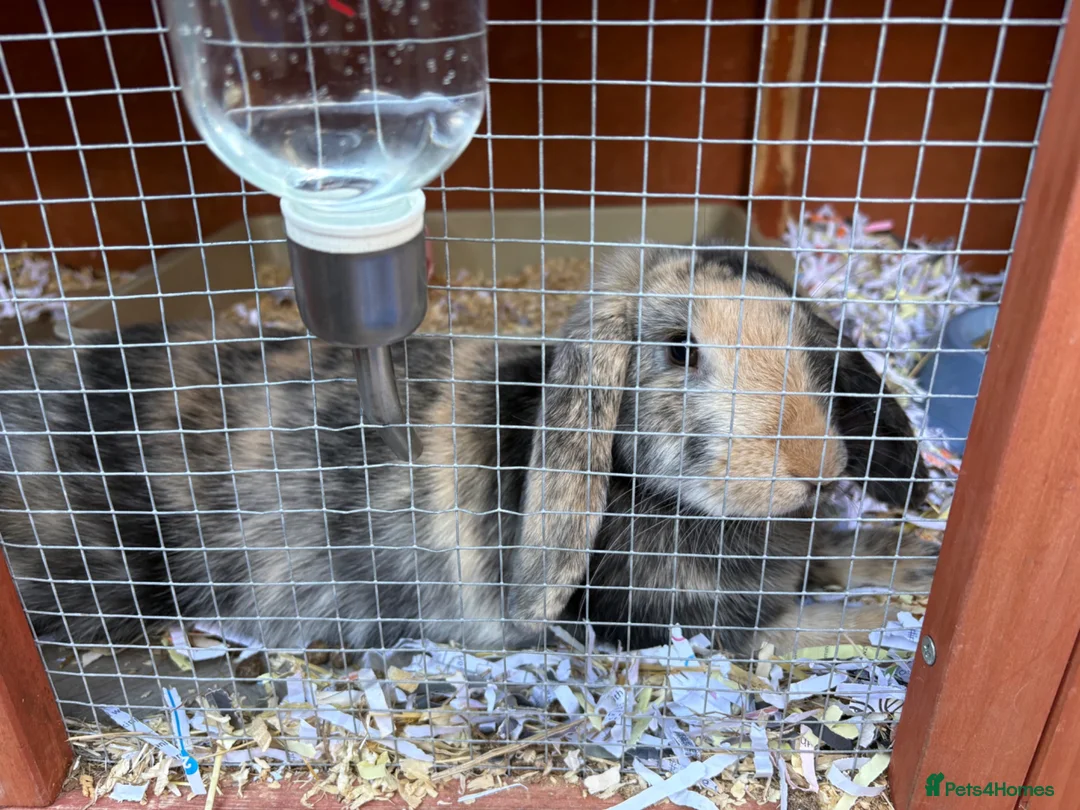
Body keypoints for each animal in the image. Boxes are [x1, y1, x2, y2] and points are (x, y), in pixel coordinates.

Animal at [0, 245, 937, 661]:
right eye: (682, 351)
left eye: (807, 341)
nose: (817, 467)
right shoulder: (664, 621)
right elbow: (796, 627)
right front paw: (878, 617)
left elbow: (845, 563)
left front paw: (910, 567)